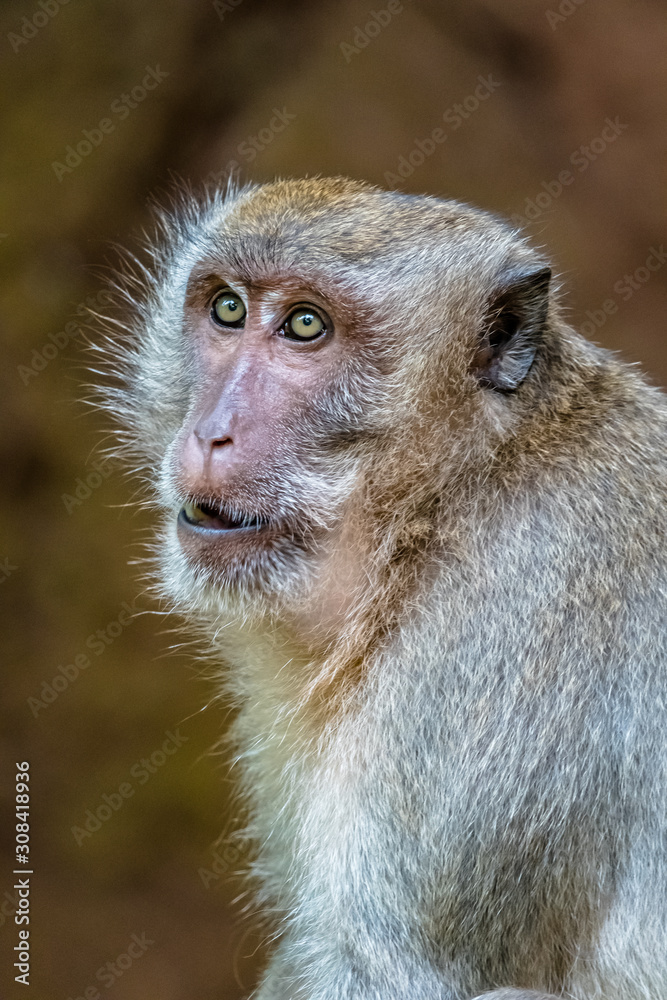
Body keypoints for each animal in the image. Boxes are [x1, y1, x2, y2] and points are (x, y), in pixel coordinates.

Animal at [98, 176, 667, 999]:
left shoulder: (490, 645)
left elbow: (387, 971)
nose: (210, 433)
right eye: (228, 309)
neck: (448, 499)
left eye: (305, 326)